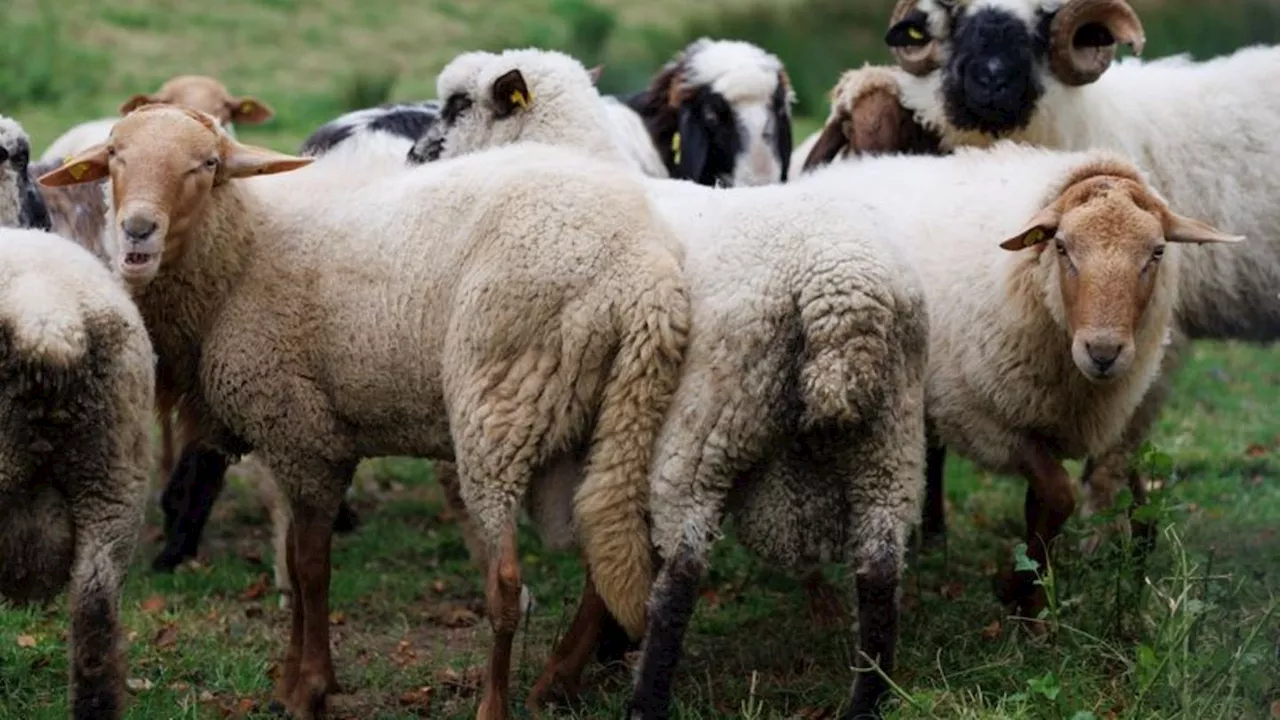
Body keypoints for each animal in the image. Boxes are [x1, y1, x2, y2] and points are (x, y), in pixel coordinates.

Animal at [40, 102, 696, 717]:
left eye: (205, 165)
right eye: (116, 156)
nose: (138, 231)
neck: (244, 248)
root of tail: (645, 275)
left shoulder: (302, 433)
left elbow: (310, 568)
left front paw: (307, 688)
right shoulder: (298, 438)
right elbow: (294, 561)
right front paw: (298, 679)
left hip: (501, 405)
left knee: (508, 582)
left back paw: (497, 702)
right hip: (613, 414)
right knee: (605, 559)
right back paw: (555, 682)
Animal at [424, 47, 936, 712]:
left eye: (458, 104)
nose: (418, 154)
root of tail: (842, 291)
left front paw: (574, 668)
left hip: (708, 422)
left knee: (684, 568)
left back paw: (647, 697)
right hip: (891, 436)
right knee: (880, 569)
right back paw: (864, 700)